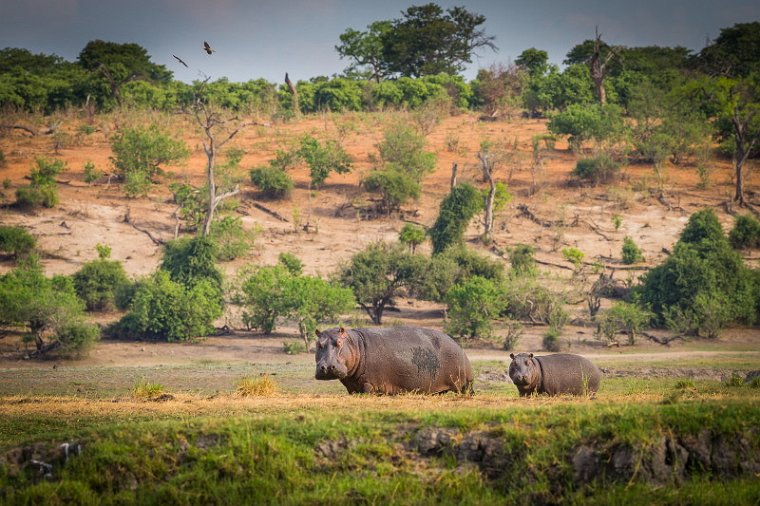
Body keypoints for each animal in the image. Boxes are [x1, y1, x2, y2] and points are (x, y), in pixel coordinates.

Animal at [314, 328, 470, 396]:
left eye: (339, 342)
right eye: (318, 344)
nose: (326, 367)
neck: (356, 344)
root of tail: (457, 345)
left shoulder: (369, 384)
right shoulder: (352, 387)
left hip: (465, 384)